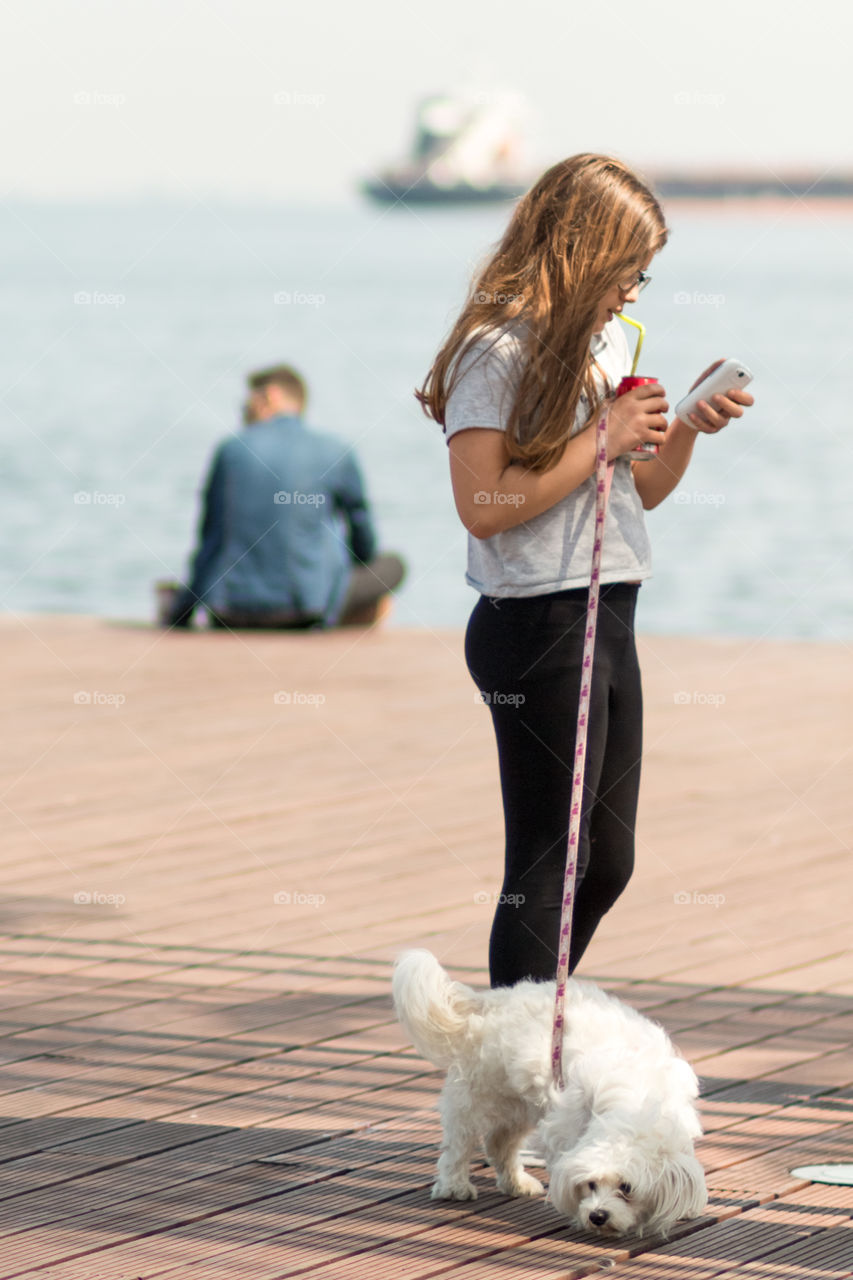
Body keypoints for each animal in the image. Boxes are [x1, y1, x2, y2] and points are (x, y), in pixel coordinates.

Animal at [391, 947, 701, 1233]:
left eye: (626, 1187)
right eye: (590, 1184)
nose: (597, 1216)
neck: (635, 1102)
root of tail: (490, 1000)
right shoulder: (565, 1130)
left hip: (518, 1106)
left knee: (500, 1145)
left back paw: (516, 1183)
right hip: (474, 1098)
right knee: (458, 1145)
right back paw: (454, 1186)